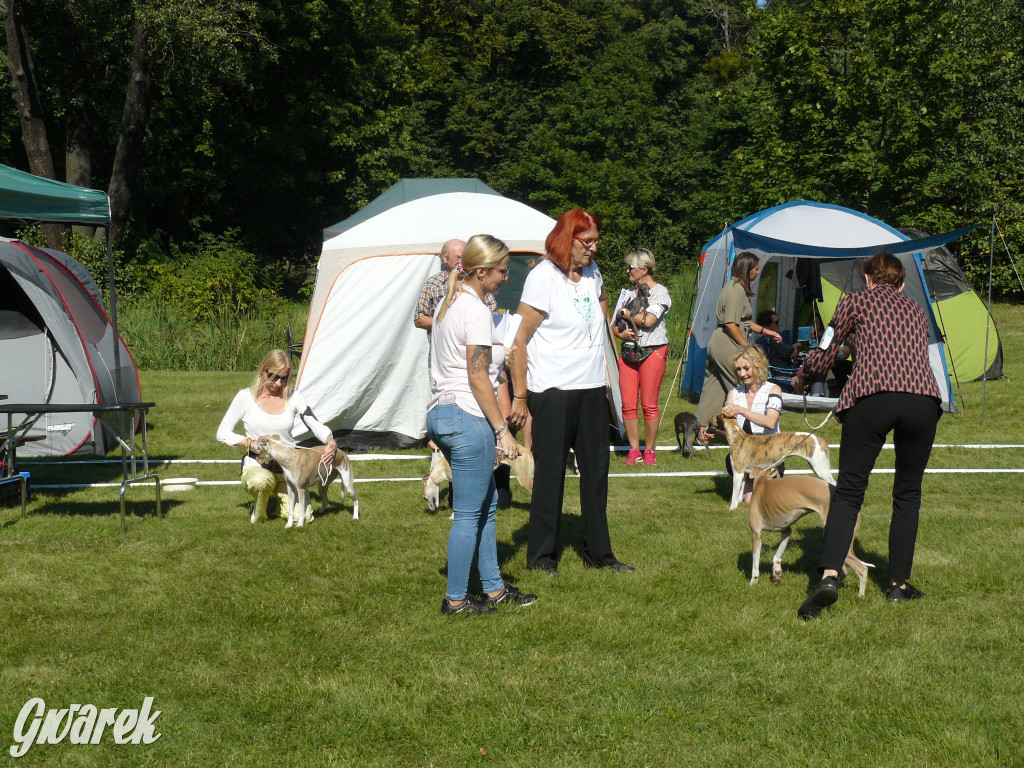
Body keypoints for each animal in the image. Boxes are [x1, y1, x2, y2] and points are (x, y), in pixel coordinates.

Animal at [745, 466, 872, 598]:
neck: (763, 482)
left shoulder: (756, 534)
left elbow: (755, 565)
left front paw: (752, 583)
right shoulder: (786, 531)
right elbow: (777, 555)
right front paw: (776, 573)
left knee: (862, 569)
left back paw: (860, 596)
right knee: (843, 571)